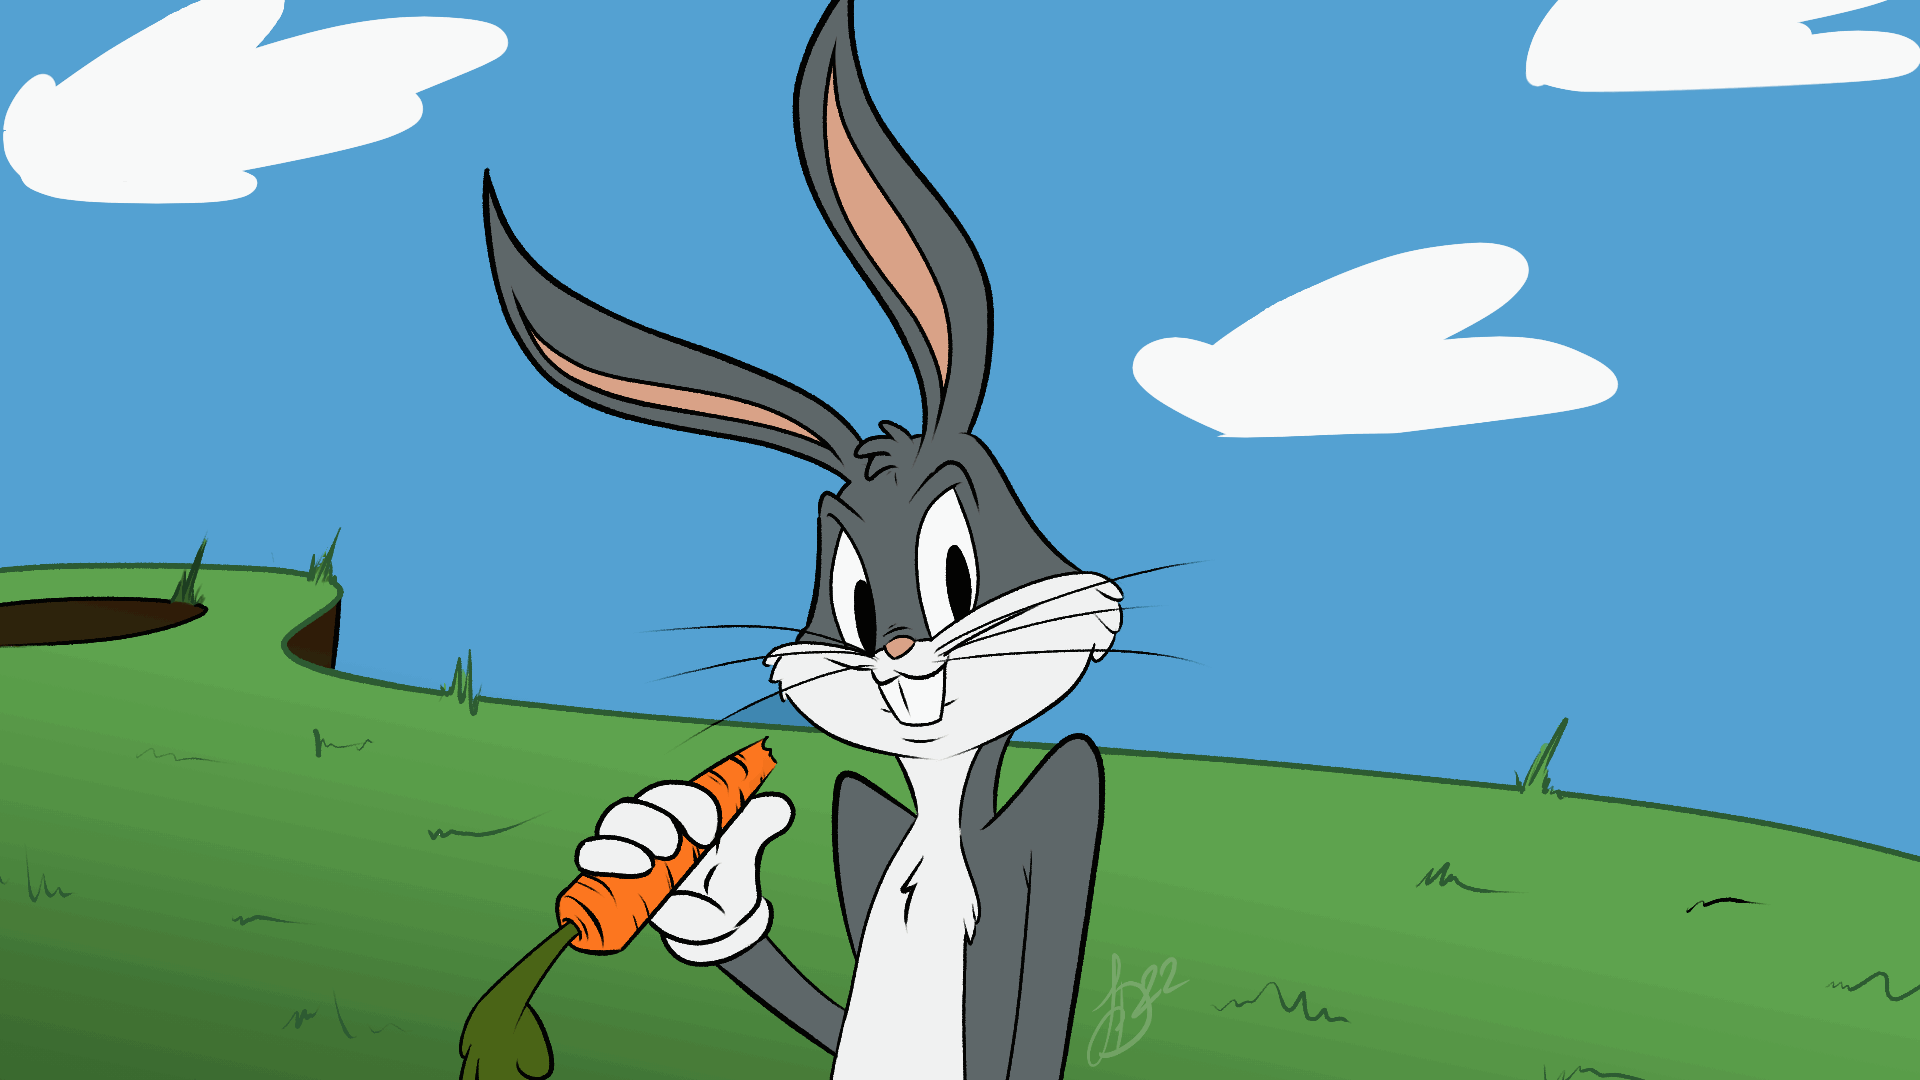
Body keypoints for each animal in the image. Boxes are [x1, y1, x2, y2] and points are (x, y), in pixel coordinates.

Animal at [481, 1, 1121, 1076]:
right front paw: (673, 859)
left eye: (959, 568)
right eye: (854, 600)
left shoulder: (1068, 804)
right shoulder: (861, 816)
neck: (939, 816)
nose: (898, 650)